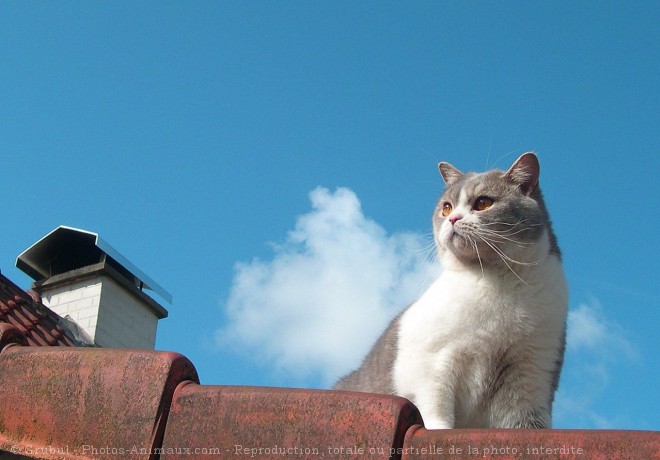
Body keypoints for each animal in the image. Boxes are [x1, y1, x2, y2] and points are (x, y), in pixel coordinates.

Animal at [336, 153, 568, 430]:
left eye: (483, 203)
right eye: (446, 207)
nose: (452, 219)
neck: (497, 283)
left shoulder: (531, 374)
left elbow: (526, 423)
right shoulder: (432, 364)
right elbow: (436, 411)